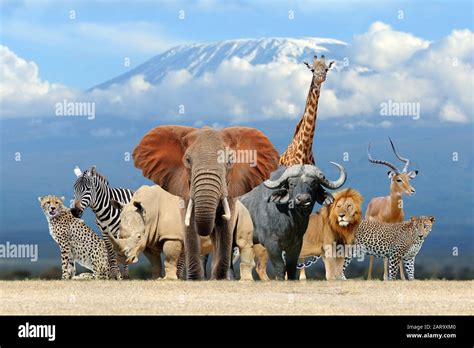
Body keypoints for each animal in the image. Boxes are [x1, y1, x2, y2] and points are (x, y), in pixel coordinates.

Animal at [106, 185, 256, 280]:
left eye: (138, 237)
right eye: (119, 236)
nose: (122, 259)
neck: (148, 212)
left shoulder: (172, 237)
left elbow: (169, 258)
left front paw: (167, 280)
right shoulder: (149, 240)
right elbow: (154, 262)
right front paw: (154, 278)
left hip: (242, 211)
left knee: (243, 243)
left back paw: (245, 281)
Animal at [131, 125, 280, 280]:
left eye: (229, 161)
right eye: (187, 160)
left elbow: (224, 226)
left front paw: (220, 279)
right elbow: (190, 225)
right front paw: (195, 279)